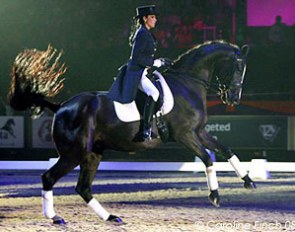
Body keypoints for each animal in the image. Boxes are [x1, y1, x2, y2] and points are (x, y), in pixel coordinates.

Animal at [8, 41, 256, 225]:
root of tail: (61, 107)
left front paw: (248, 181)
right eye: (237, 67)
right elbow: (206, 157)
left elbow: (226, 149)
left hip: (93, 153)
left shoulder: (199, 131)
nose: (233, 99)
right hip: (74, 153)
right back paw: (55, 217)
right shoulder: (185, 134)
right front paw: (215, 195)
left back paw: (111, 217)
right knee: (49, 177)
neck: (187, 84)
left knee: (83, 187)